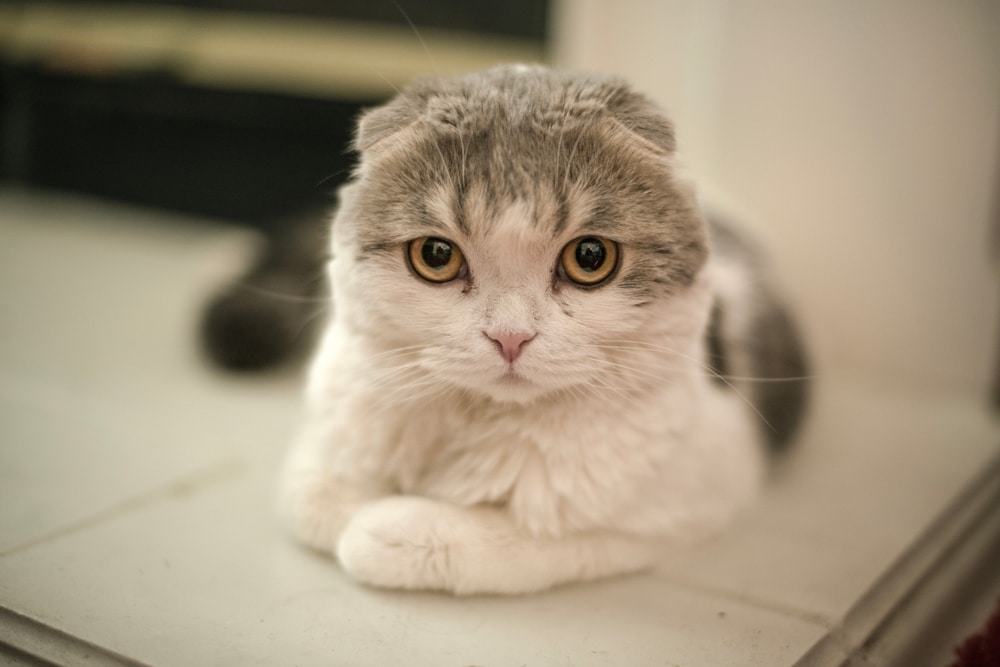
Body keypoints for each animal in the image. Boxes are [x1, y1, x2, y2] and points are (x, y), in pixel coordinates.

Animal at [278, 64, 808, 596]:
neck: (477, 422)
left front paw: (386, 527)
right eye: (435, 255)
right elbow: (309, 492)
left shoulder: (688, 503)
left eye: (590, 257)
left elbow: (532, 537)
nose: (510, 337)